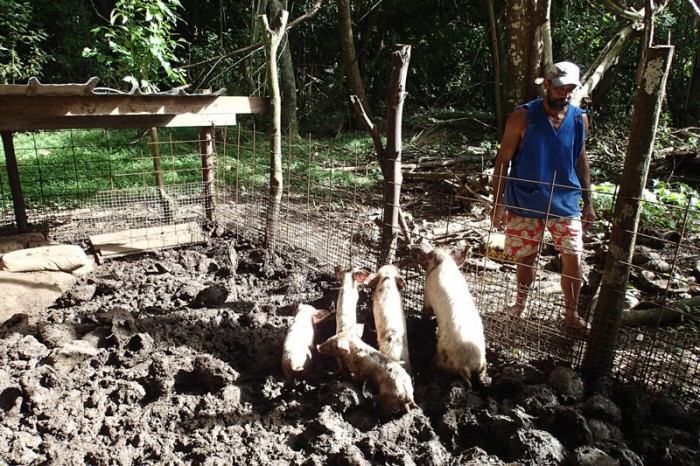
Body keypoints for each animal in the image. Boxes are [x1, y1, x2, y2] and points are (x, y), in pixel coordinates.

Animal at [410, 244, 486, 390]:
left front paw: (420, 324)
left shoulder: (427, 291)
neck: (444, 262)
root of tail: (466, 365)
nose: (414, 248)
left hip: (442, 356)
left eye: (428, 255)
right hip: (482, 366)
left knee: (433, 368)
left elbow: (426, 310)